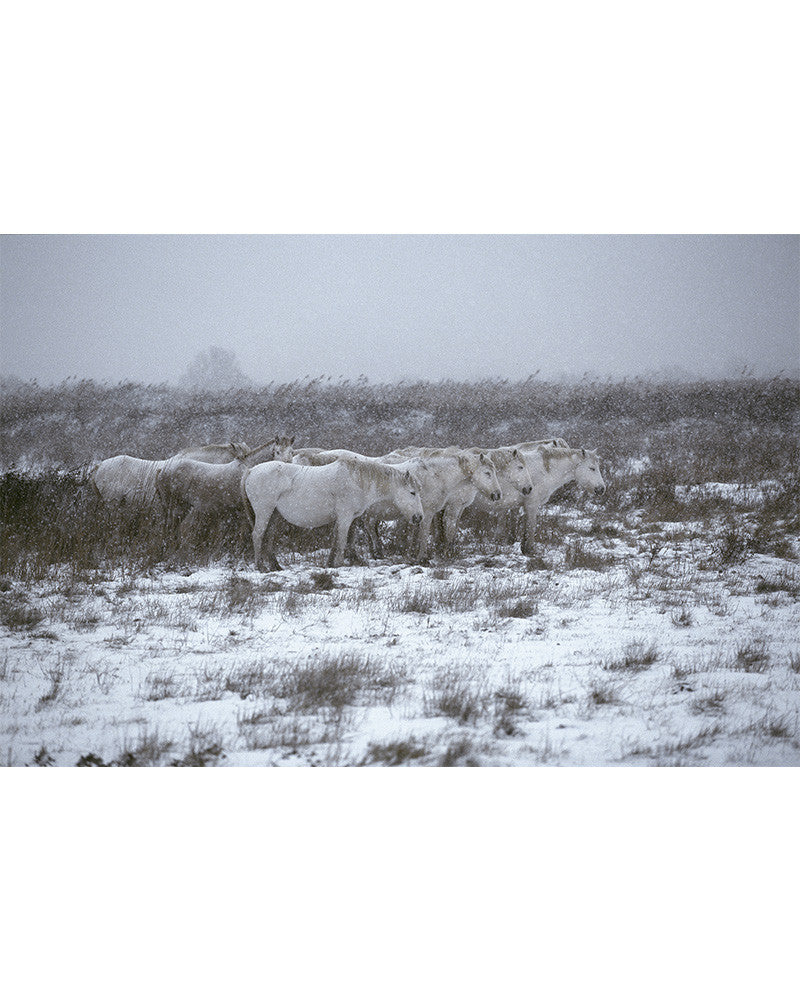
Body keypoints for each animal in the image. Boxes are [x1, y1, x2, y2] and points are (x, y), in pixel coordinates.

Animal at [242, 456, 424, 570]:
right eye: (412, 492)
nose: (419, 517)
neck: (357, 480)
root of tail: (250, 471)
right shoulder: (345, 517)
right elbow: (342, 541)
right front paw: (339, 564)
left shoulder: (344, 518)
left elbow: (337, 540)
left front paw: (329, 564)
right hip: (264, 512)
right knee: (257, 535)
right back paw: (261, 567)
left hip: (274, 515)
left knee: (268, 537)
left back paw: (276, 566)